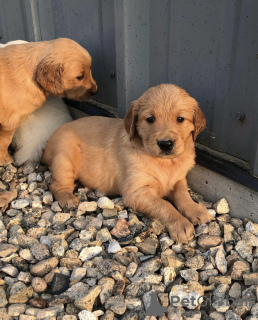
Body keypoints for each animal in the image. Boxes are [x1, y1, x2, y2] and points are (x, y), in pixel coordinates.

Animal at [0, 37, 97, 166]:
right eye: (79, 77)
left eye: (90, 69)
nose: (95, 91)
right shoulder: (10, 121)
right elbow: (4, 141)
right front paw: (4, 159)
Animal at [43, 84, 213, 241]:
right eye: (150, 119)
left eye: (180, 119)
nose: (165, 144)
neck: (165, 163)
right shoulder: (136, 192)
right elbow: (165, 205)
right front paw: (180, 223)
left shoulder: (179, 179)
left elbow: (183, 195)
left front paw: (196, 210)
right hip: (64, 156)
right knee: (57, 185)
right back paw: (68, 198)